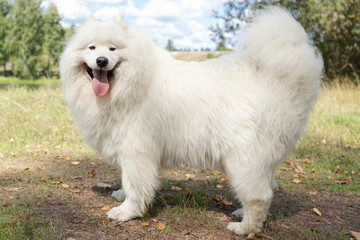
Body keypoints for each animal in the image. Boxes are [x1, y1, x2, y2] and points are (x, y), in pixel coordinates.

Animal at [59, 7, 324, 234]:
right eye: (92, 48)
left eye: (113, 49)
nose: (102, 60)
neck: (130, 84)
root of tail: (278, 80)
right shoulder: (128, 149)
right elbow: (128, 181)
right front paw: (121, 196)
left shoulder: (137, 151)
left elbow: (135, 185)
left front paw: (126, 212)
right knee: (266, 189)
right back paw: (242, 214)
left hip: (243, 160)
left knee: (260, 196)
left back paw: (244, 228)